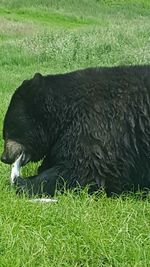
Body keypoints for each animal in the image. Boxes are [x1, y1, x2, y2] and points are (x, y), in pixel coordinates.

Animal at [1, 66, 150, 198]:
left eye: (8, 132)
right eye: (5, 134)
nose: (4, 157)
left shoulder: (101, 125)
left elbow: (85, 170)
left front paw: (23, 183)